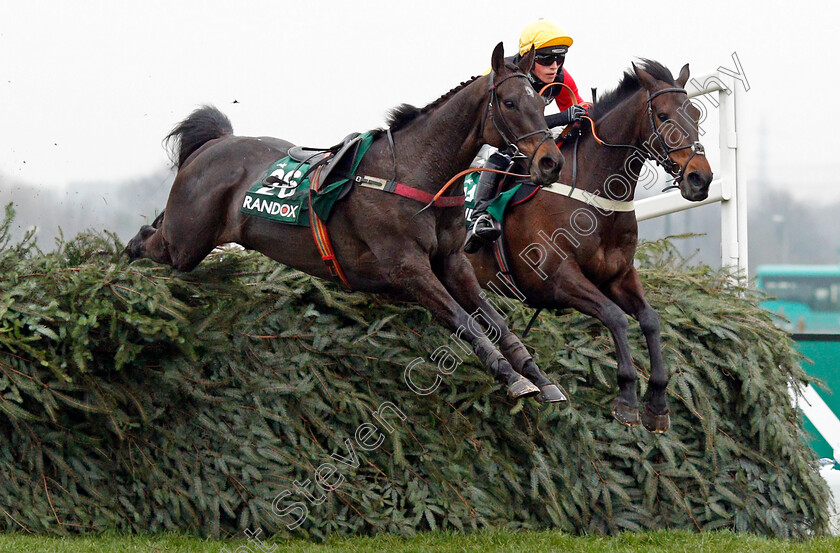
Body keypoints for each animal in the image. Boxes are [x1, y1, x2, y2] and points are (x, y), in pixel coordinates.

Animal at [126, 43, 572, 402]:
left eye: (542, 104)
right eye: (510, 103)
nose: (551, 162)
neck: (419, 175)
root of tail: (214, 143)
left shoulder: (453, 262)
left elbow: (497, 322)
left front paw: (540, 378)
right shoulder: (407, 268)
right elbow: (466, 323)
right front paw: (513, 379)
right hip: (185, 241)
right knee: (146, 241)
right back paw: (128, 273)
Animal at [466, 61, 716, 432]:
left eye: (696, 113)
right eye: (663, 115)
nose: (701, 179)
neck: (594, 198)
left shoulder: (618, 276)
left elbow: (650, 319)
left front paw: (657, 401)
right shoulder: (557, 281)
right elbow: (615, 317)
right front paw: (627, 395)